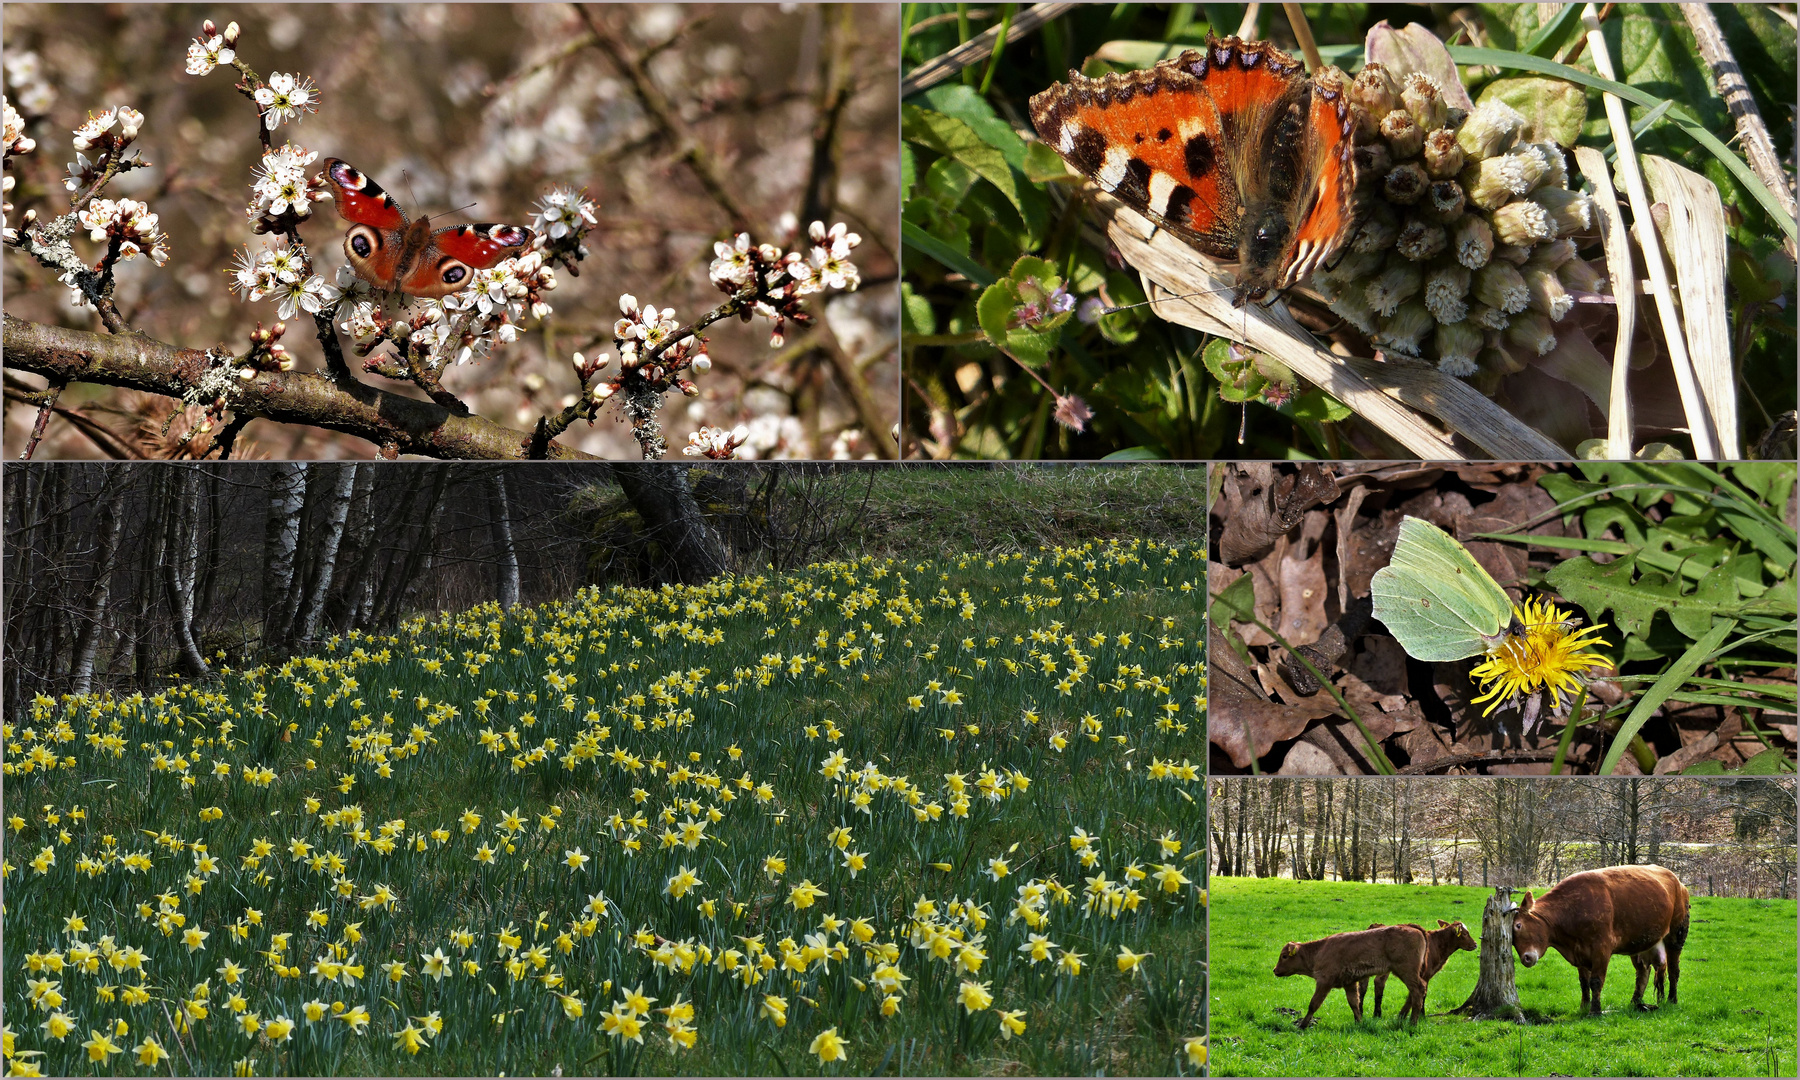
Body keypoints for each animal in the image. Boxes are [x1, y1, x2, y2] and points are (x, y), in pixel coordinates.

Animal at [1274, 918, 1425, 1029]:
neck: (1319, 951)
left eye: (1284, 956)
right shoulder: (1350, 983)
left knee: (1417, 991)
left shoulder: (1324, 982)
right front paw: (1359, 1022)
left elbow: (1314, 1004)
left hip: (1406, 972)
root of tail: (1414, 929)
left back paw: (1413, 1023)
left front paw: (1302, 1025)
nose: (1275, 970)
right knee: (1417, 991)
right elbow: (1354, 1003)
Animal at [1512, 864, 1692, 1015]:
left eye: (1518, 925)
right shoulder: (1579, 951)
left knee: (1673, 970)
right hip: (1639, 942)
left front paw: (1595, 1011)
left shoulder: (1602, 949)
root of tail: (1678, 882)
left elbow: (1596, 981)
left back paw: (1672, 1000)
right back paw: (1635, 1002)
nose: (1526, 958)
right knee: (1642, 973)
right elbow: (1584, 982)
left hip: (1676, 935)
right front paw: (1584, 1007)